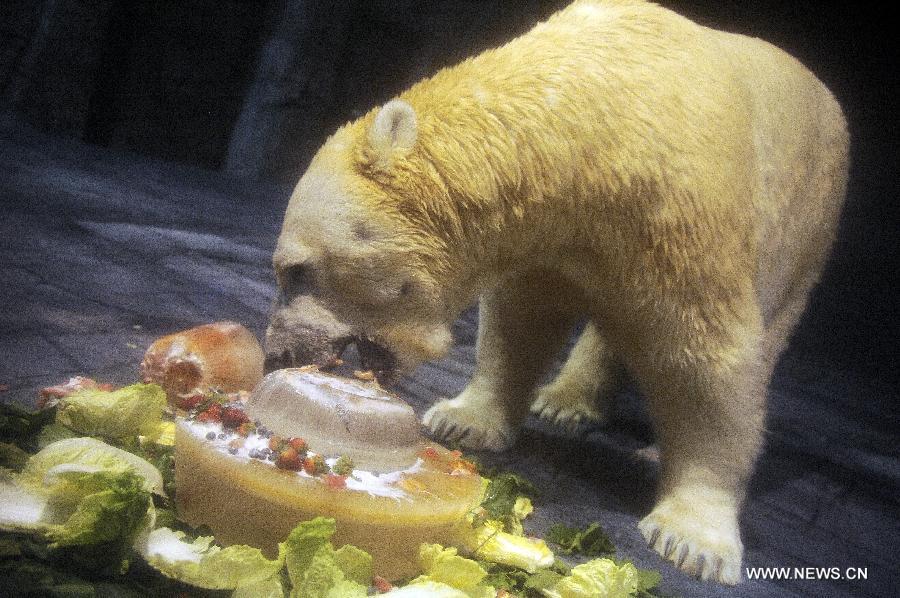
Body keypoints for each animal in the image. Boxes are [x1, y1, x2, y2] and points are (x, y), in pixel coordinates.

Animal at [264, 0, 848, 588]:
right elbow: (521, 320)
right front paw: (463, 418)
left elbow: (707, 359)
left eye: (295, 270)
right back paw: (565, 400)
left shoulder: (681, 214)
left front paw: (693, 538)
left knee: (770, 329)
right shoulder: (558, 237)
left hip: (808, 227)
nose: (277, 353)